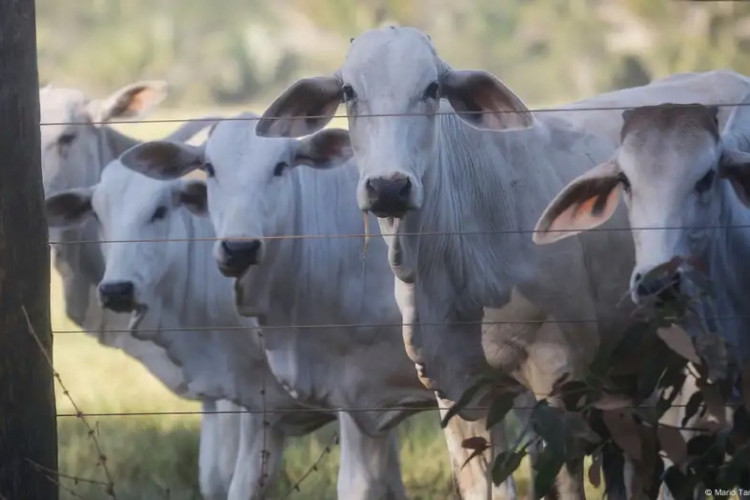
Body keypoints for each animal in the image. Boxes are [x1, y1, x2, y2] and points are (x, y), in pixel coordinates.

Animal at [116, 114, 528, 500]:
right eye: (211, 168)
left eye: (280, 167)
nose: (239, 248)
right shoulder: (264, 405)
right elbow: (243, 482)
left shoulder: (367, 391)